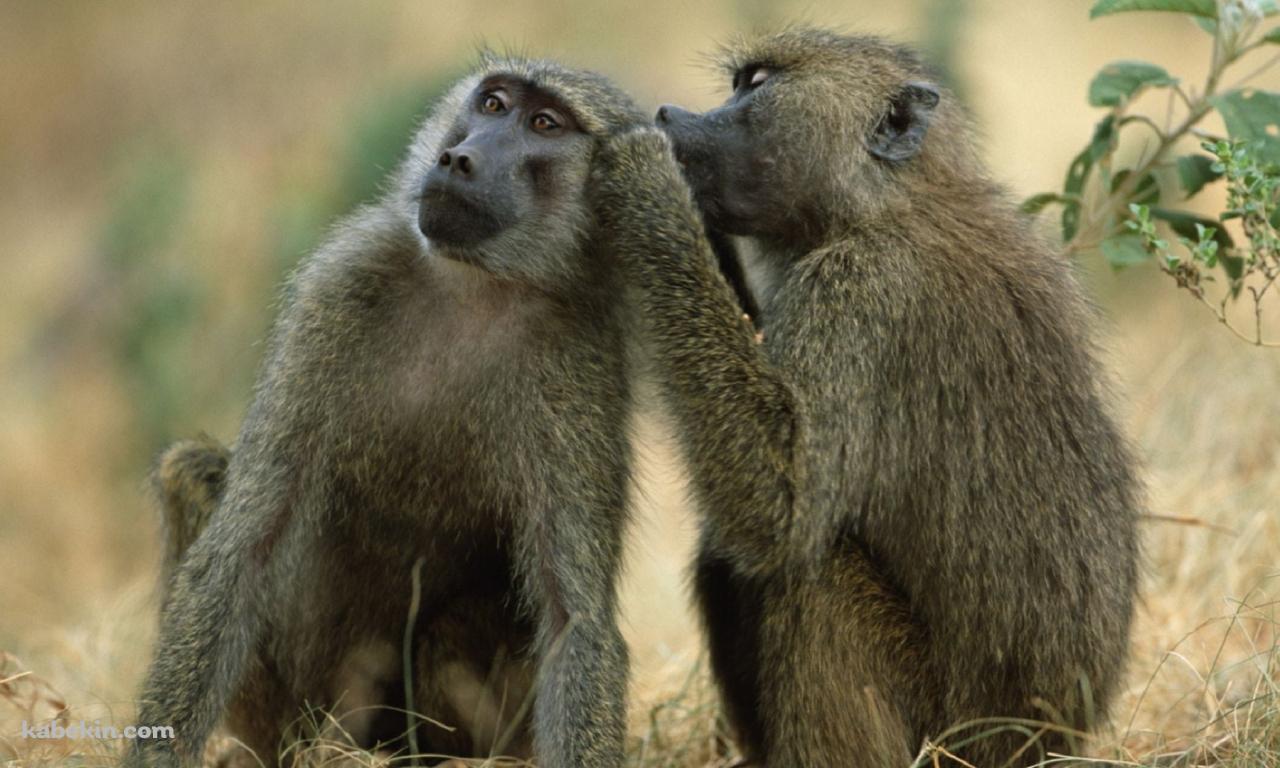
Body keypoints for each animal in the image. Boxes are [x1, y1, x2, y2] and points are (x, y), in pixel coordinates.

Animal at [124, 56, 648, 768]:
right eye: (492, 103)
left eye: (544, 123)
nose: (458, 158)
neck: (474, 287)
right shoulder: (338, 287)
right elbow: (240, 550)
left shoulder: (582, 363)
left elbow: (576, 621)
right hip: (296, 712)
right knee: (189, 469)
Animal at [590, 27, 1142, 767]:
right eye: (737, 84)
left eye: (755, 85)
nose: (670, 115)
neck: (883, 203)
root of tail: (1049, 741)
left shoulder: (862, 292)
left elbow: (781, 509)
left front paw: (649, 181)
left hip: (945, 732)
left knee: (809, 574)